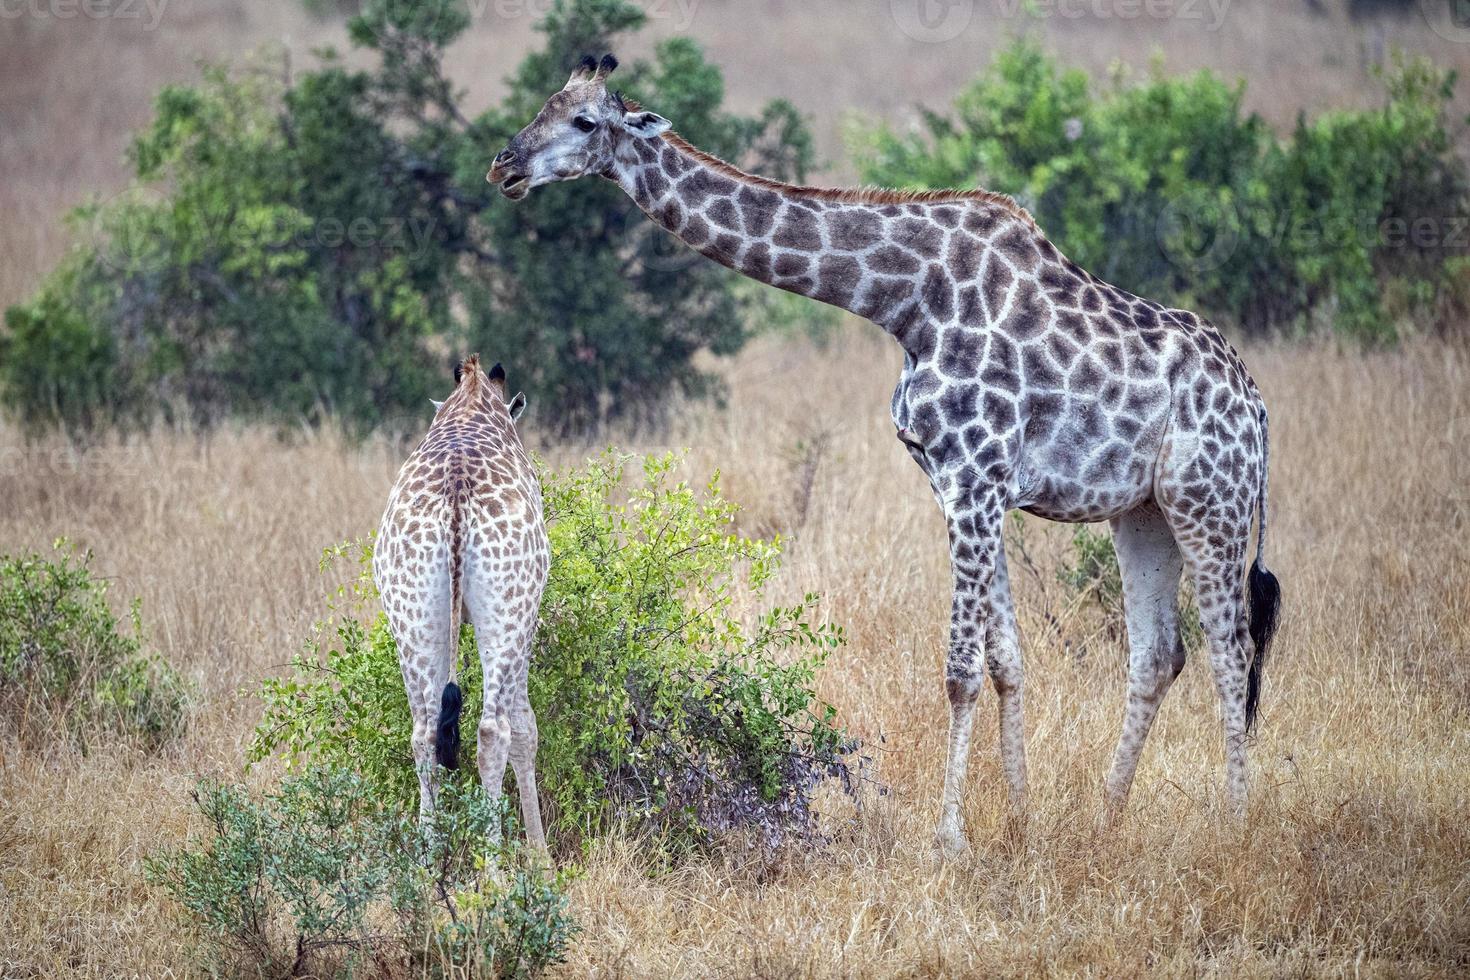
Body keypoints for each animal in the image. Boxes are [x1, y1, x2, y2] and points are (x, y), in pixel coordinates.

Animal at [370, 354, 549, 852]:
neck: (472, 404)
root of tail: (454, 502)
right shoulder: (530, 620)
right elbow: (526, 729)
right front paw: (541, 856)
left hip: (410, 616)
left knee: (425, 732)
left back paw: (430, 859)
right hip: (510, 612)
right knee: (493, 731)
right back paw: (494, 862)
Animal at [488, 53, 1281, 852]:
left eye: (584, 121)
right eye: (542, 105)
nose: (505, 166)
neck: (907, 301)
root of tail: (1257, 409)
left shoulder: (974, 475)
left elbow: (961, 667)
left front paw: (949, 839)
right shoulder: (963, 482)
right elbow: (1007, 659)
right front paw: (1020, 819)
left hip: (1211, 501)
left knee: (1232, 650)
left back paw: (1238, 825)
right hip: (1143, 511)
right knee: (1158, 654)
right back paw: (1107, 818)